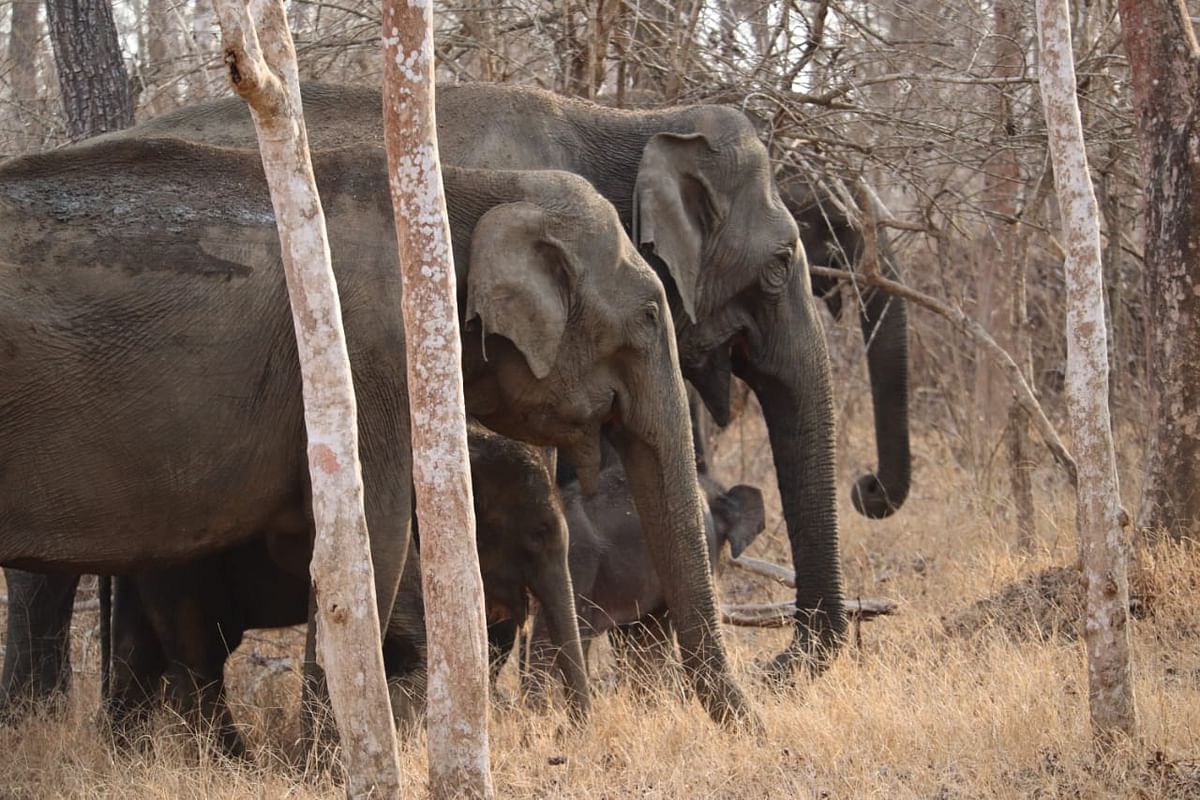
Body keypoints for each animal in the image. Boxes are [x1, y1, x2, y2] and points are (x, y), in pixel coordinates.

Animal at [0, 137, 748, 734]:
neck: (461, 187)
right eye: (651, 314)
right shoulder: (374, 359)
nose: (750, 729)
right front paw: (322, 766)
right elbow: (375, 535)